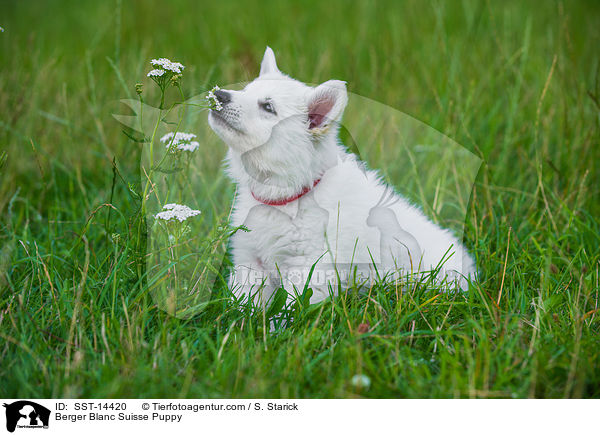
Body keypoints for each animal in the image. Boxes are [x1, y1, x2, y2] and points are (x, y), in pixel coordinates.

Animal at [209, 46, 476, 304]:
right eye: (245, 90)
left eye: (268, 107)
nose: (219, 95)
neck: (288, 196)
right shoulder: (250, 261)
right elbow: (246, 304)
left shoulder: (312, 267)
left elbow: (292, 309)